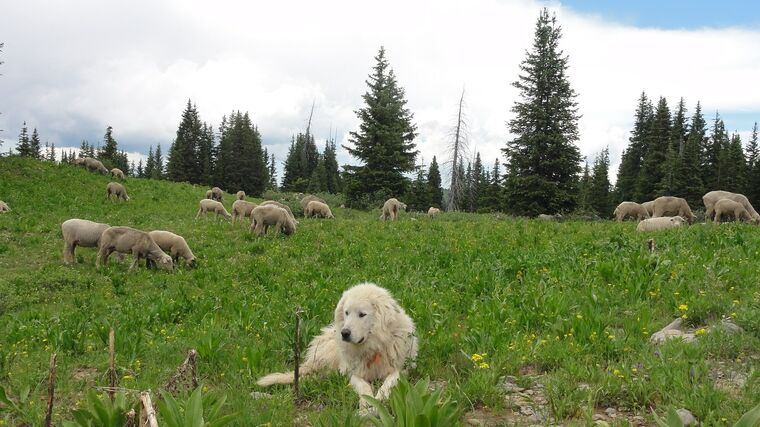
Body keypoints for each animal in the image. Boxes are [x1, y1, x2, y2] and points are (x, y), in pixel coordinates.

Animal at [258, 282, 418, 410]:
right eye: (347, 312)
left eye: (362, 314)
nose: (344, 333)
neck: (374, 347)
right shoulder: (354, 374)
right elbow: (364, 386)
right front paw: (366, 402)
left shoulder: (402, 370)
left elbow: (389, 382)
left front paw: (379, 399)